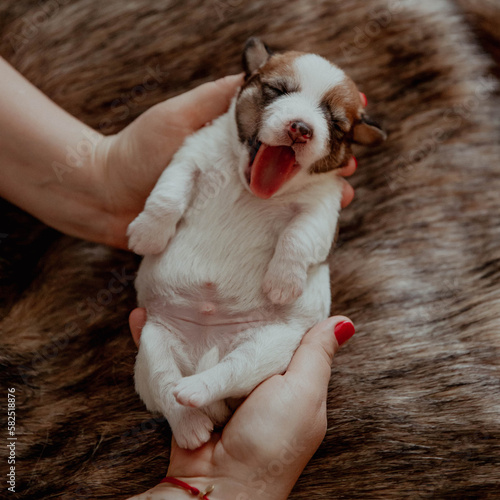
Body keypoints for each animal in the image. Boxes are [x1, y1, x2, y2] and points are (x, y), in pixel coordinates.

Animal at [127, 36, 384, 450]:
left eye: (335, 123)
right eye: (276, 91)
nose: (301, 128)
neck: (249, 185)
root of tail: (206, 346)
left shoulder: (321, 208)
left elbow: (298, 237)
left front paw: (282, 283)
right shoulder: (189, 156)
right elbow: (167, 193)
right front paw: (148, 234)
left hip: (269, 347)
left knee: (229, 371)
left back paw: (197, 391)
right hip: (153, 341)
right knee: (165, 387)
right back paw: (191, 426)